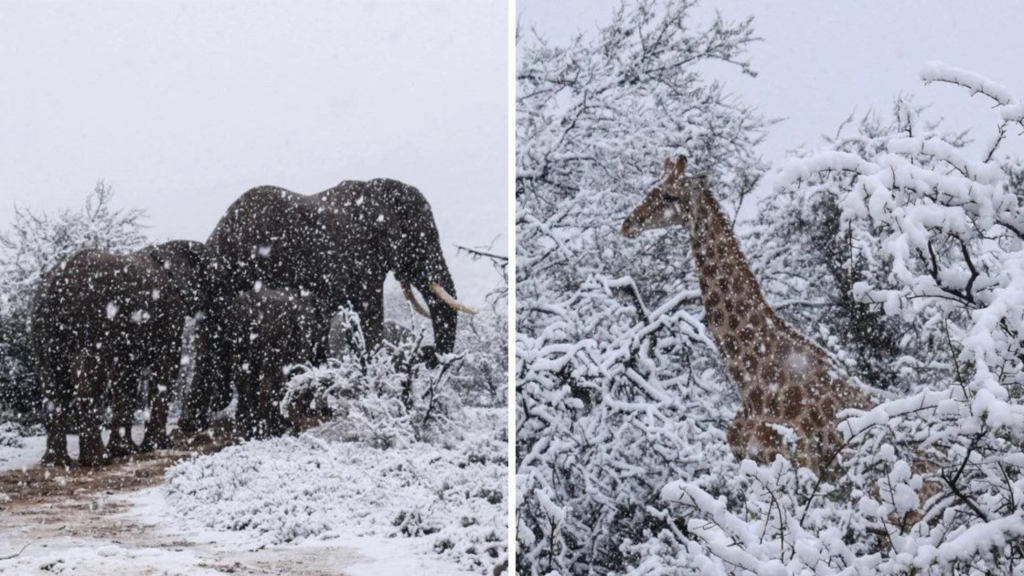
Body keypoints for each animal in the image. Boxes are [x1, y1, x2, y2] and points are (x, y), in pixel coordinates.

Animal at [33, 239, 212, 463]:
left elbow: (126, 376)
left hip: (44, 330)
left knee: (51, 384)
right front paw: (159, 446)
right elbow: (167, 367)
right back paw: (98, 460)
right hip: (95, 324)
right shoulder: (169, 316)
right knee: (89, 379)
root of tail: (57, 283)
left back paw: (56, 462)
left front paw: (125, 451)